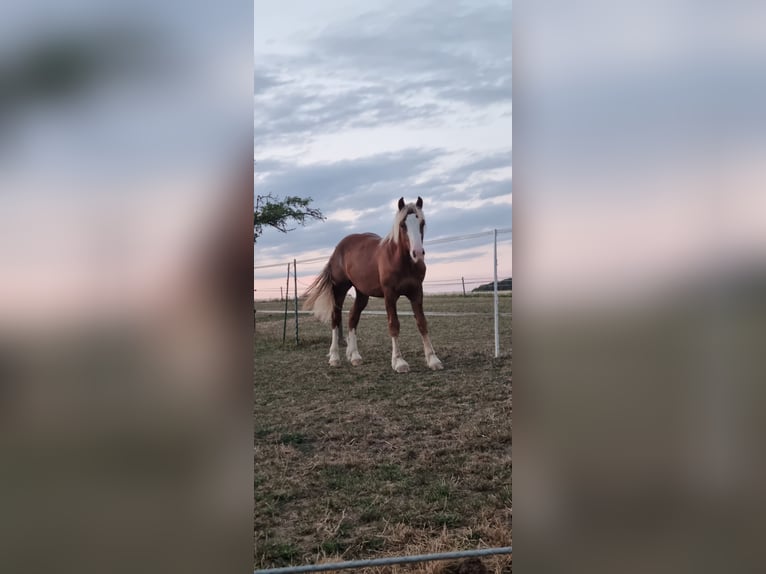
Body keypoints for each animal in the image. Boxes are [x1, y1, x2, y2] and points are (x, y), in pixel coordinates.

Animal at [303, 197, 443, 373]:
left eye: (422, 223)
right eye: (402, 225)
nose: (417, 253)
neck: (402, 261)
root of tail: (337, 249)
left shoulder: (417, 292)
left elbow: (422, 323)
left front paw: (433, 359)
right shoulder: (390, 295)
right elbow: (394, 325)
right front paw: (399, 362)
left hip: (362, 293)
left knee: (352, 317)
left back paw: (355, 356)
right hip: (339, 290)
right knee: (336, 318)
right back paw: (335, 357)